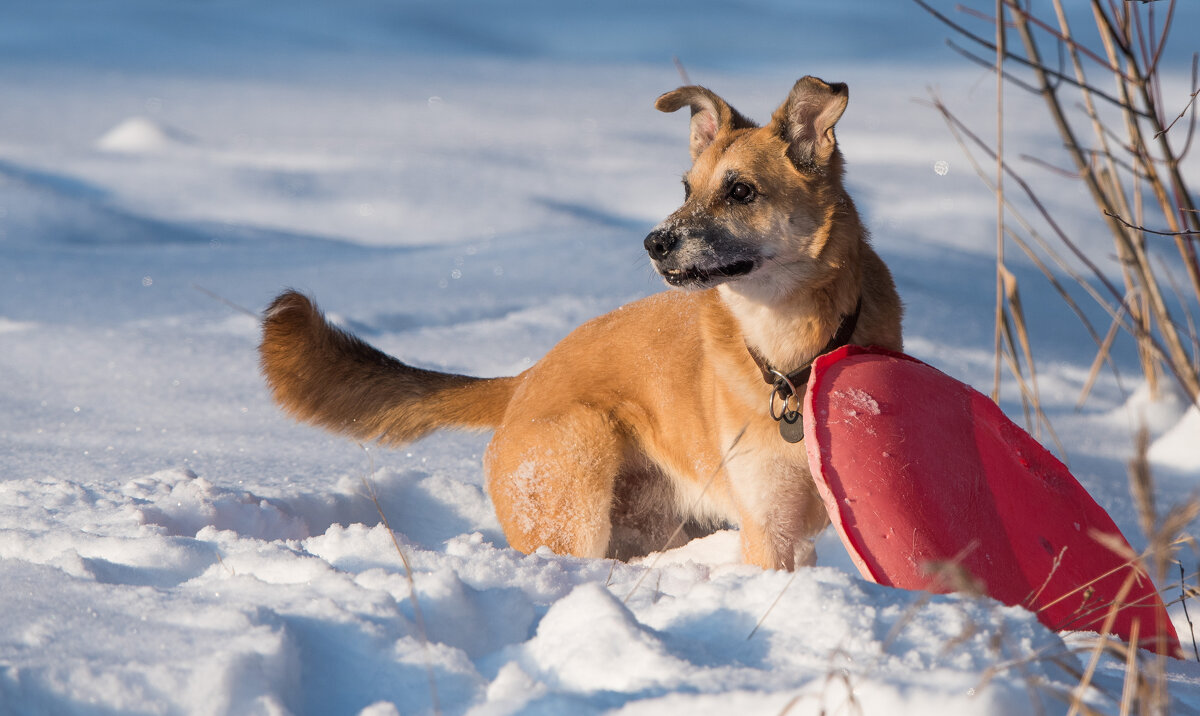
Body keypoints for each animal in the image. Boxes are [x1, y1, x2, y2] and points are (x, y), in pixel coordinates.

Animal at [260, 76, 902, 568]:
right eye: (686, 189)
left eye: (741, 191)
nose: (654, 243)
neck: (792, 352)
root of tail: (522, 382)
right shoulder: (770, 528)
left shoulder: (797, 529)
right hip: (581, 472)